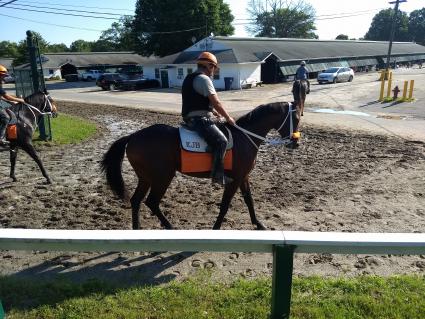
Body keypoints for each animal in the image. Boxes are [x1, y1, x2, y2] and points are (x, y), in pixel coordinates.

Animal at [102, 97, 302, 230]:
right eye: (297, 118)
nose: (295, 142)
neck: (244, 136)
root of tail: (133, 136)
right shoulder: (235, 180)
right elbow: (225, 205)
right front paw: (216, 228)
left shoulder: (243, 177)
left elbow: (249, 200)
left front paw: (258, 224)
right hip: (162, 177)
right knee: (152, 202)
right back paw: (171, 228)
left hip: (146, 178)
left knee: (136, 200)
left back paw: (138, 229)